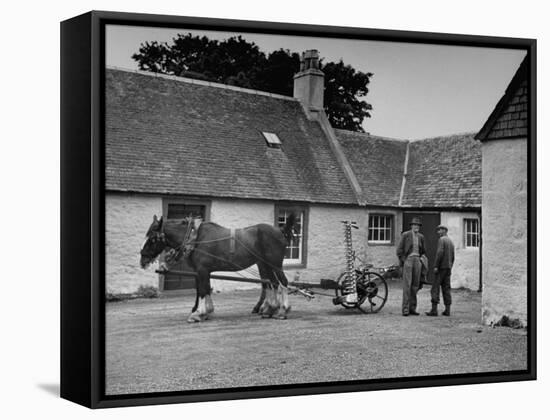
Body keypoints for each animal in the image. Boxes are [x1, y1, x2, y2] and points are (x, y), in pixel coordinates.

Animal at [141, 215, 298, 324]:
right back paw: (270, 309)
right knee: (272, 283)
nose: (142, 259)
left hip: (274, 264)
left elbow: (202, 291)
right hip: (265, 265)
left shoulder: (202, 270)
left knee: (282, 282)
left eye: (153, 238)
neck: (196, 239)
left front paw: (198, 313)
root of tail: (279, 230)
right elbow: (205, 289)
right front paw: (206, 312)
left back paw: (283, 310)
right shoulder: (204, 272)